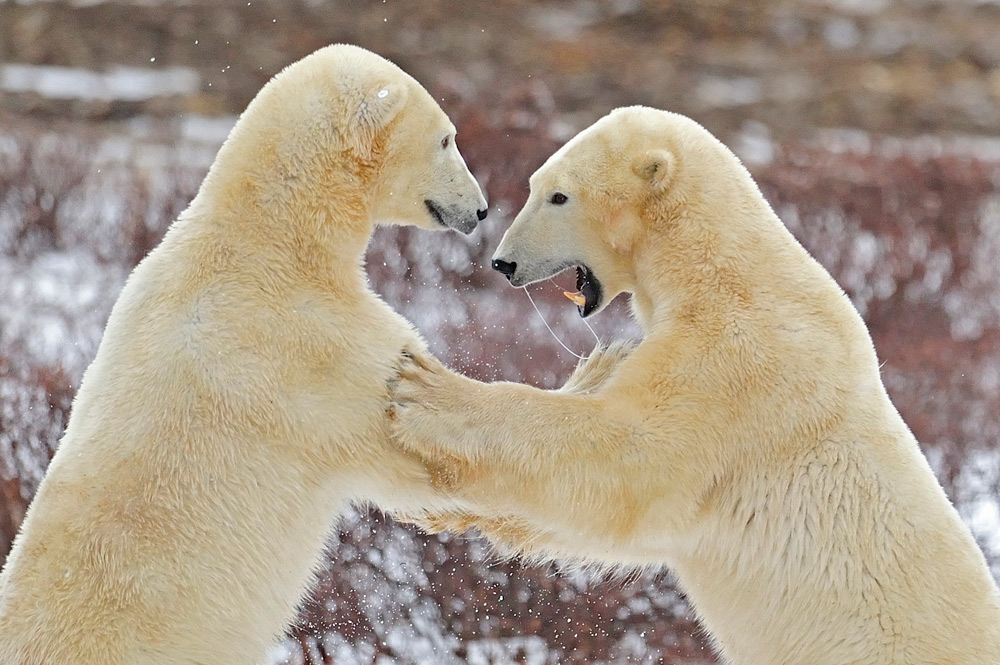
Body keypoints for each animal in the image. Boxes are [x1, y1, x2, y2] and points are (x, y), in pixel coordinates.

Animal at [388, 107, 1000, 664]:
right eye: (537, 185)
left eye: (559, 196)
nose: (503, 262)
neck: (718, 272)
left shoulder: (734, 368)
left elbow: (625, 465)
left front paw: (426, 391)